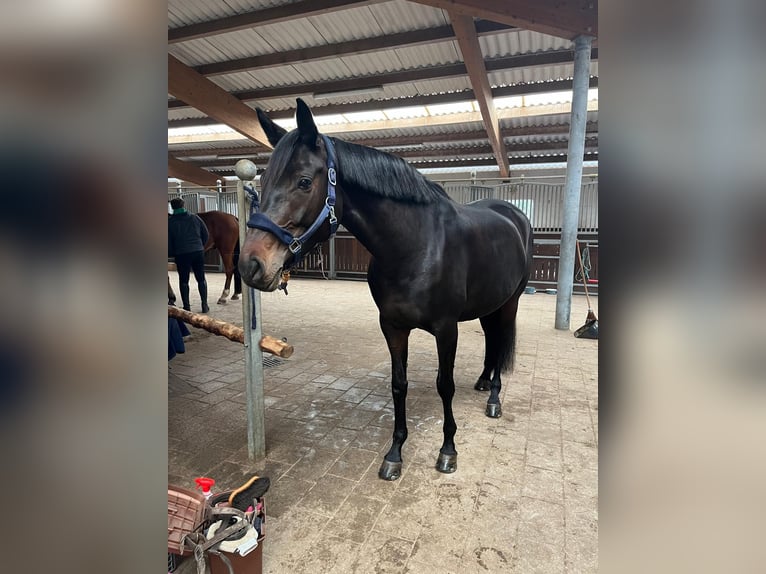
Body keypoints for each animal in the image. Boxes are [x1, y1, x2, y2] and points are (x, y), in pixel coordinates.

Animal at [240, 100, 536, 482]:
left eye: (304, 182)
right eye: (262, 182)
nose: (251, 264)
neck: (415, 246)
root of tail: (513, 214)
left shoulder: (446, 329)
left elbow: (445, 384)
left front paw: (448, 451)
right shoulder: (392, 326)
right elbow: (399, 385)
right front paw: (394, 454)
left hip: (510, 303)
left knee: (500, 341)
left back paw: (494, 398)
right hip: (489, 303)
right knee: (491, 340)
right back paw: (484, 382)